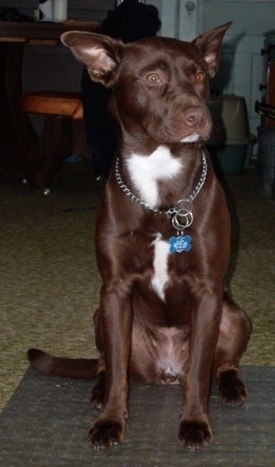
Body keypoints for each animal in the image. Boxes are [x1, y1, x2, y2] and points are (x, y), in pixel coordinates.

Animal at [28, 23, 252, 452]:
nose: (198, 116)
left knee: (221, 363)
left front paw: (194, 422)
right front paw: (110, 421)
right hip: (102, 316)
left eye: (200, 75)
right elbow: (117, 371)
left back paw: (231, 385)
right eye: (152, 79)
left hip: (235, 315)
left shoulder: (208, 292)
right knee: (106, 363)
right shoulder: (115, 290)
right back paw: (99, 388)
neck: (161, 183)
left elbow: (200, 371)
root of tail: (166, 369)